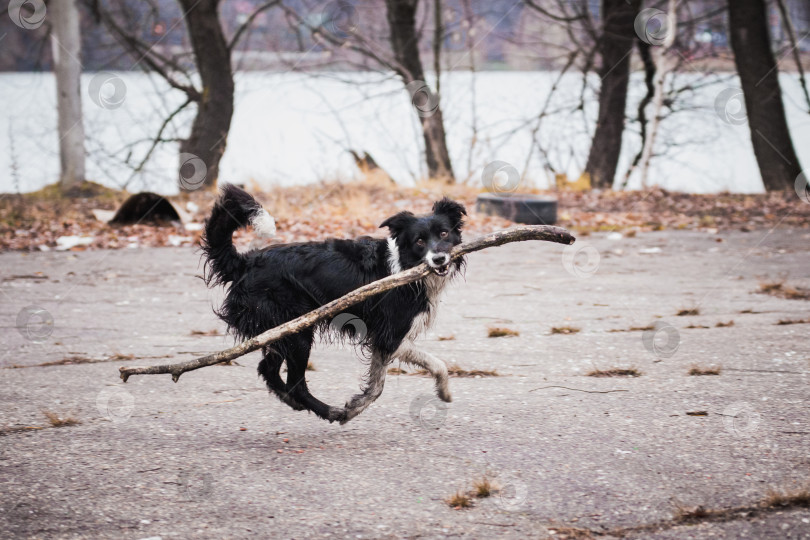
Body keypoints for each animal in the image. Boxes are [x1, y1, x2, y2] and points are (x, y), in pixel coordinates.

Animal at [202, 186, 464, 426]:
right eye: (419, 241)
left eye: (444, 233)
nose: (439, 259)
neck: (405, 266)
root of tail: (245, 263)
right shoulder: (389, 336)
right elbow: (435, 365)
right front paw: (443, 392)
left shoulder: (384, 340)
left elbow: (378, 384)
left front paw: (357, 405)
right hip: (297, 333)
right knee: (295, 383)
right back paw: (328, 411)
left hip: (279, 333)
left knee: (268, 370)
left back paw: (296, 403)